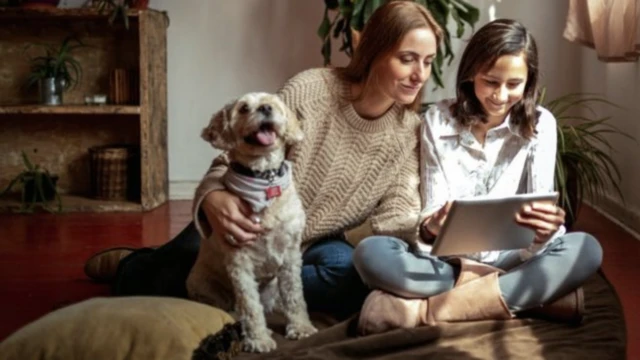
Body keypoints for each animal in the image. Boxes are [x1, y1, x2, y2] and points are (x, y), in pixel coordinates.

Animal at [188, 92, 318, 352]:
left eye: (273, 103)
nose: (266, 108)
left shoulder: (290, 255)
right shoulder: (239, 262)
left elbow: (295, 296)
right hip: (205, 287)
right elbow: (250, 305)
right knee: (235, 312)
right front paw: (258, 340)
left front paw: (300, 327)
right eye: (244, 108)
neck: (265, 179)